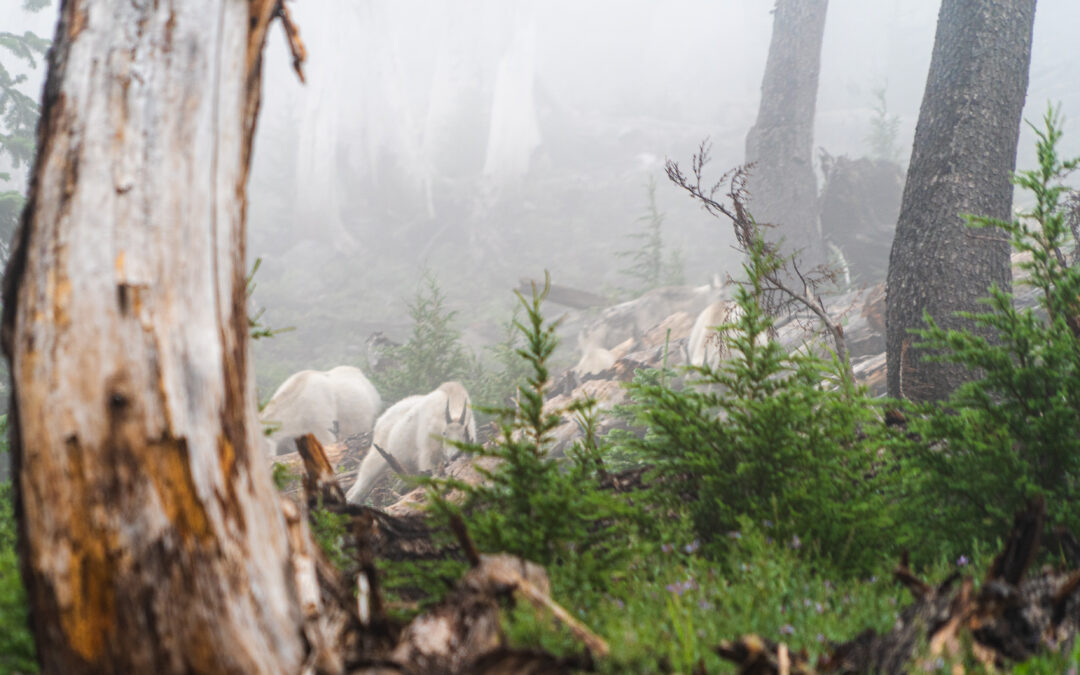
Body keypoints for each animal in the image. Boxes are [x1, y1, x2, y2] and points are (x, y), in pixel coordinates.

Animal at [349, 382, 477, 503]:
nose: (454, 455)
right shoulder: (426, 454)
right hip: (378, 455)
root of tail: (380, 420)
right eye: (444, 433)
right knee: (359, 485)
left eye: (464, 433)